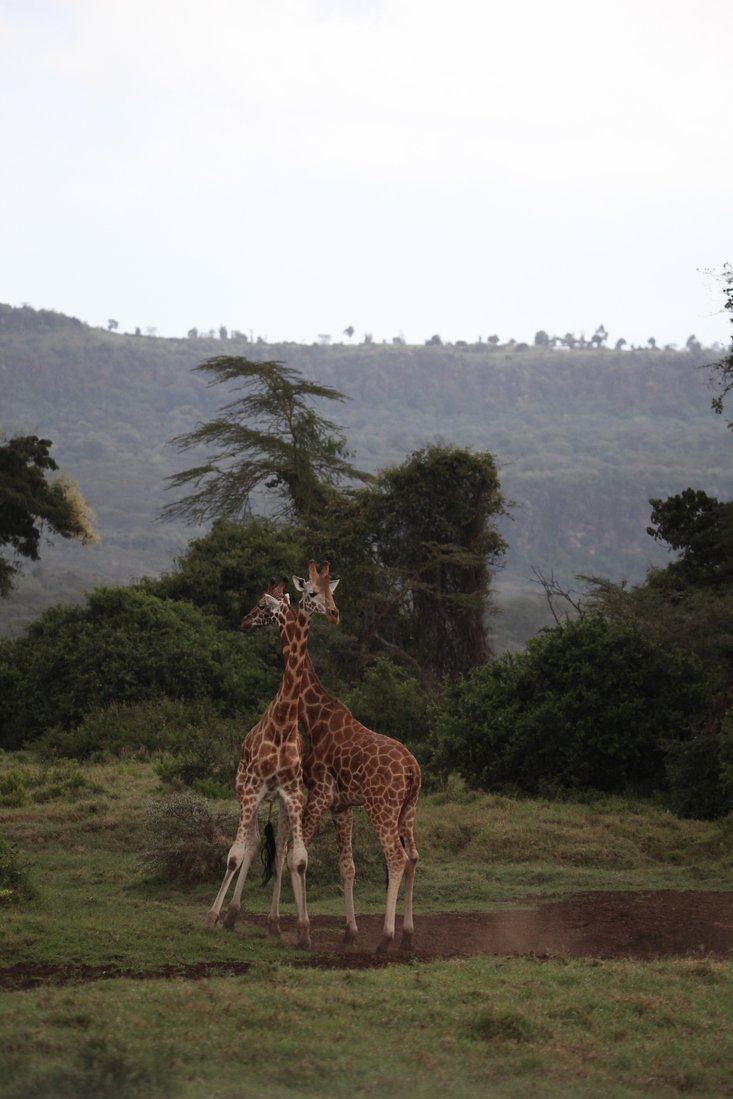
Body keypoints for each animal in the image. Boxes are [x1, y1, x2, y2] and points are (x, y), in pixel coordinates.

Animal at [203, 562, 340, 949]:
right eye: (313, 592)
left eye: (331, 592)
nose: (245, 620)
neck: (281, 722)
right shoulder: (252, 788)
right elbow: (234, 854)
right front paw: (211, 919)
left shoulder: (292, 793)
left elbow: (299, 858)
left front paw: (303, 931)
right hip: (244, 789)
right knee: (248, 843)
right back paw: (227, 915)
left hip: (275, 798)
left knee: (275, 847)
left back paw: (273, 922)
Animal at [241, 580, 417, 949]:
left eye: (262, 606)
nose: (245, 621)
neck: (315, 718)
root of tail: (413, 769)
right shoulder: (341, 805)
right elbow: (345, 865)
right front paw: (349, 931)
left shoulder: (319, 792)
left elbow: (294, 855)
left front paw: (300, 929)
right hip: (409, 809)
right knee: (413, 857)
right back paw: (408, 935)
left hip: (382, 808)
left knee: (396, 857)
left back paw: (386, 937)